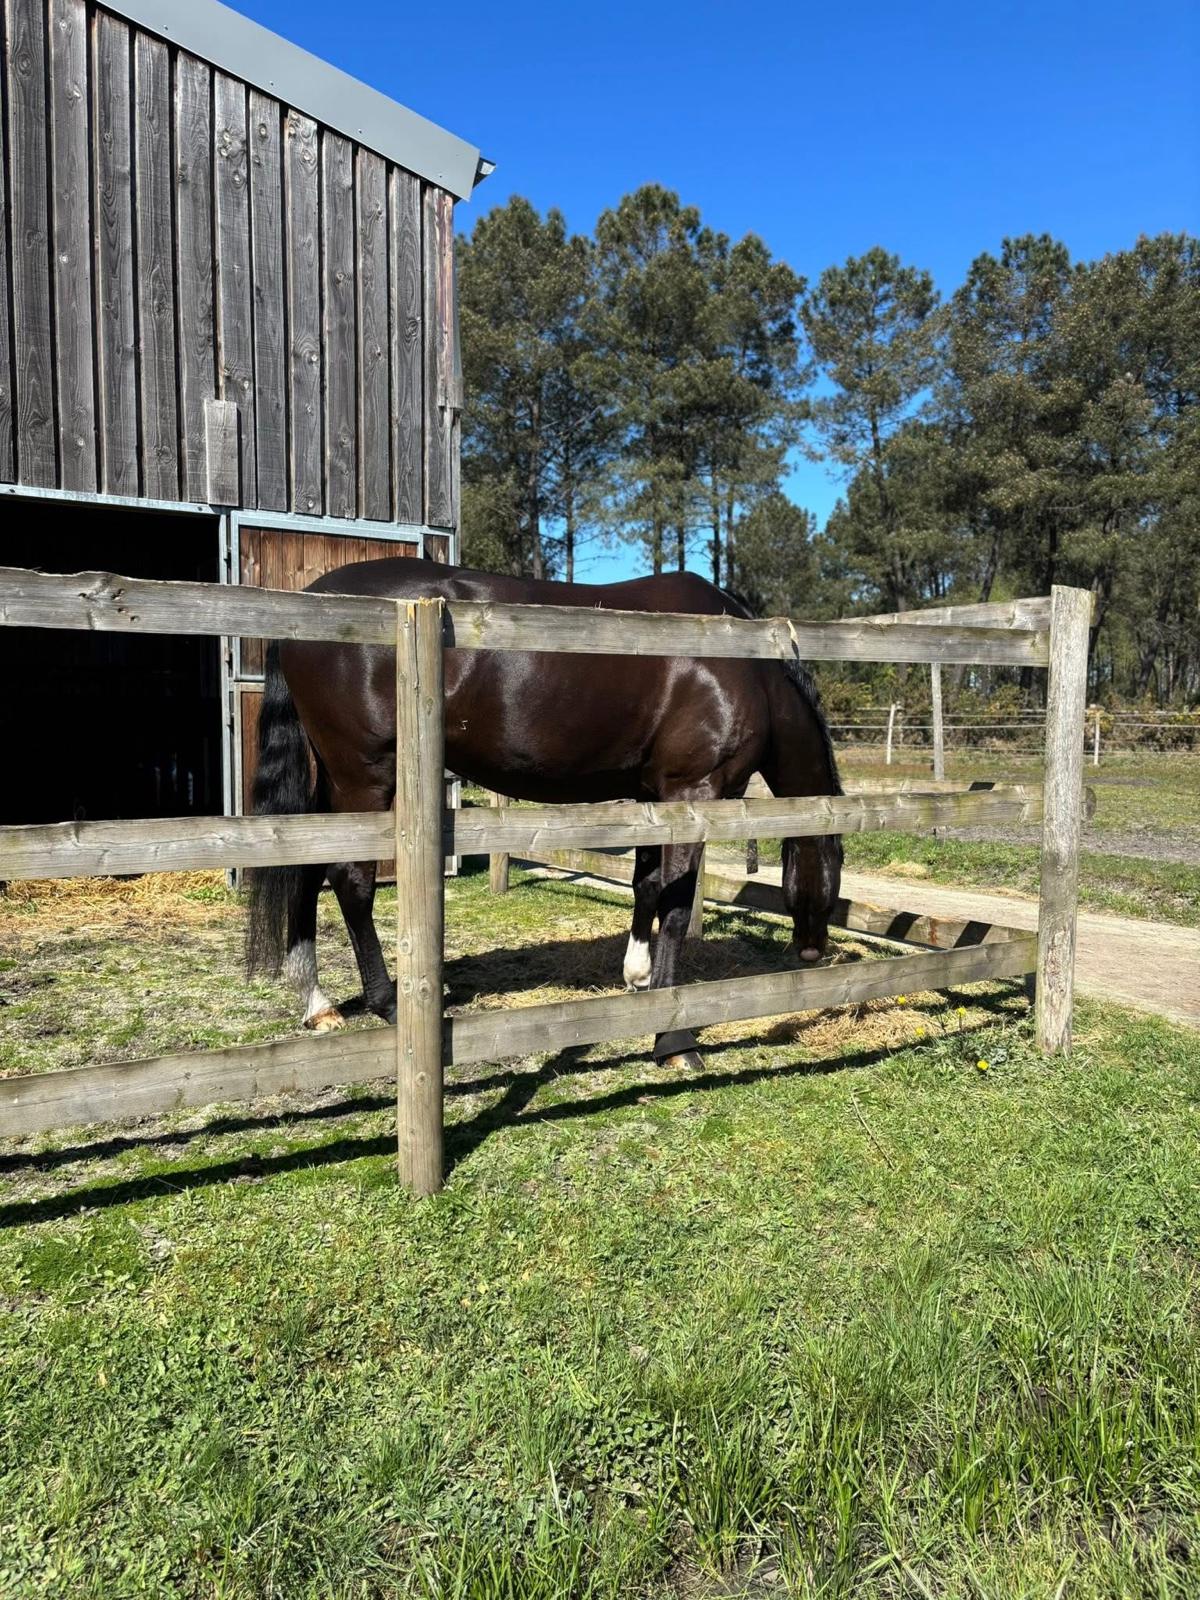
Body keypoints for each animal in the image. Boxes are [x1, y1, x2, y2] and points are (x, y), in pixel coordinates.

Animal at [246, 559, 843, 1069]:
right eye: (833, 878)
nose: (812, 952)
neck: (746, 668)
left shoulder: (652, 796)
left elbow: (646, 885)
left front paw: (637, 976)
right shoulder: (691, 793)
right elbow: (674, 907)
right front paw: (673, 1039)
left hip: (333, 784)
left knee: (306, 870)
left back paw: (318, 1003)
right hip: (364, 777)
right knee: (351, 881)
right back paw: (388, 1003)